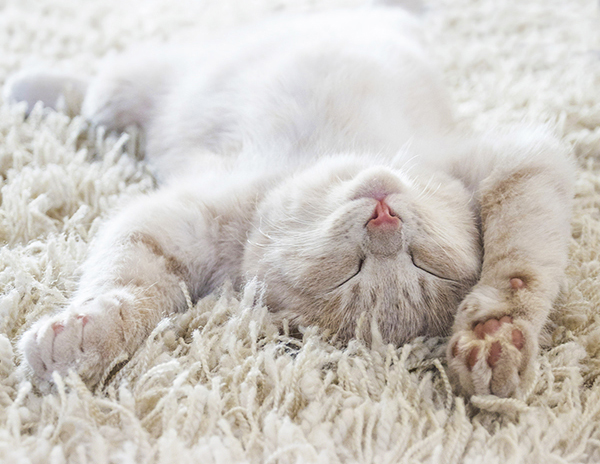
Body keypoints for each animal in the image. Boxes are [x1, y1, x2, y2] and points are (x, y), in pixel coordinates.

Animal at [5, 4, 576, 398]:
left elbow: (522, 270)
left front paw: (496, 333)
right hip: (136, 82)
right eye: (350, 270)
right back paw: (28, 87)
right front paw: (92, 329)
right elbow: (127, 279)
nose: (385, 220)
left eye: (422, 265)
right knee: (91, 90)